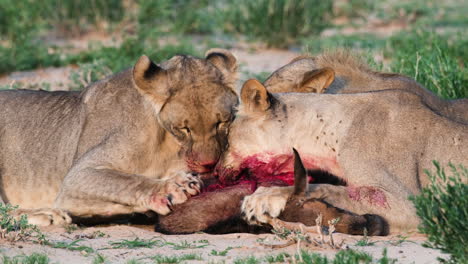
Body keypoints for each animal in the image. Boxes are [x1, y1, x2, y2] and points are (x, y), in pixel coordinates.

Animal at [0, 48, 239, 226]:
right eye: (184, 128)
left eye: (222, 122)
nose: (209, 164)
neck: (169, 145)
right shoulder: (76, 179)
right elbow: (127, 181)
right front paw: (173, 187)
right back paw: (47, 215)